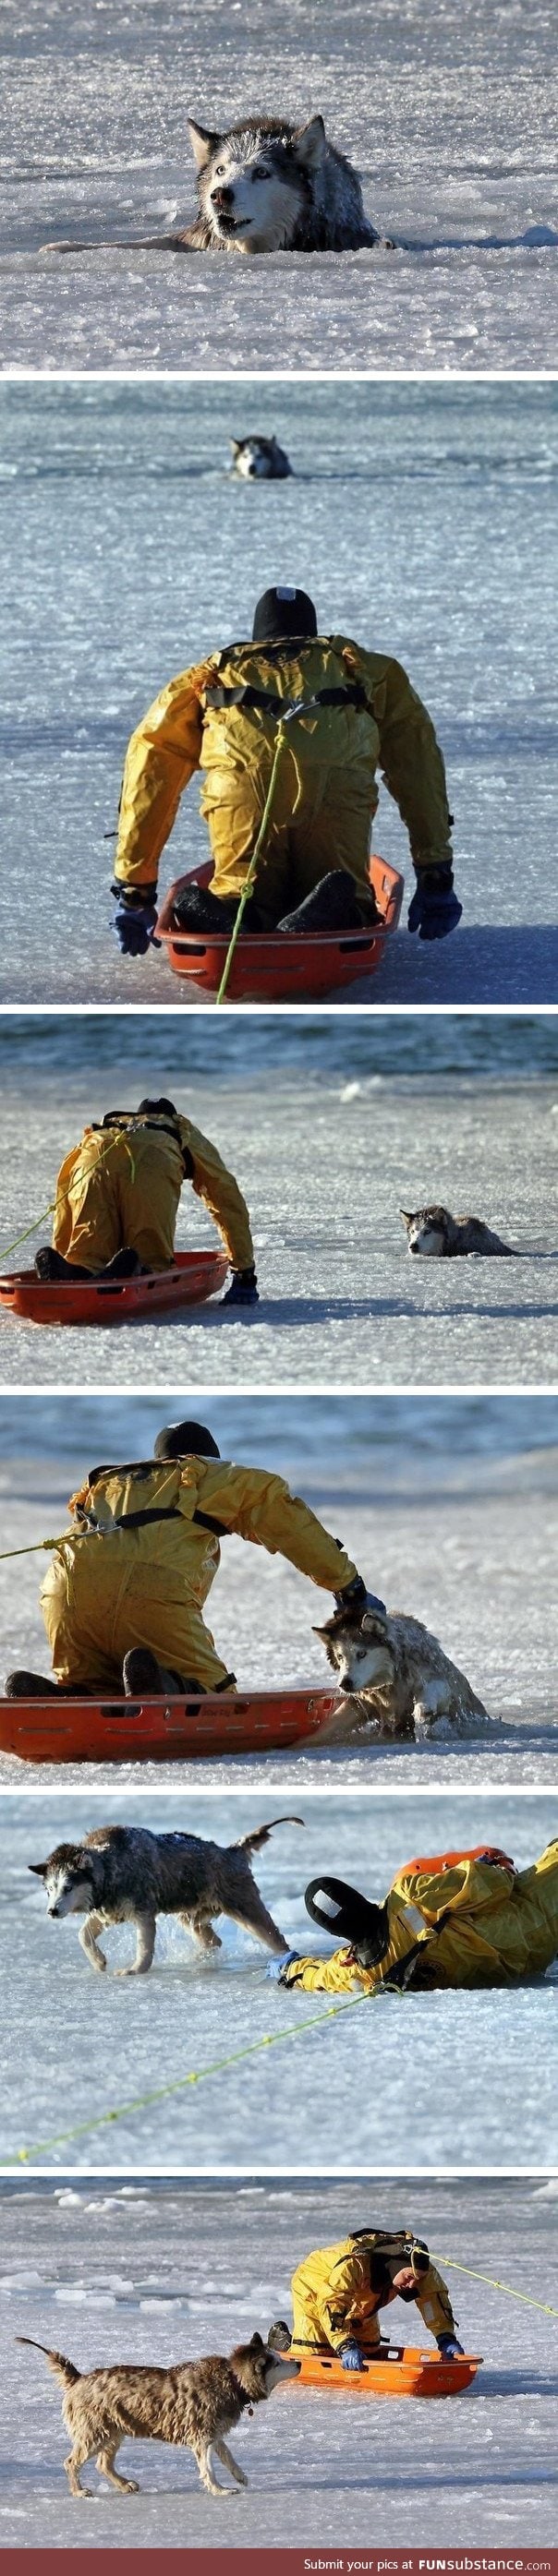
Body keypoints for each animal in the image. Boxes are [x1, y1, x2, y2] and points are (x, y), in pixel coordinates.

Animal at [16, 2339, 300, 2493]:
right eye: (277, 2362)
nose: (297, 2362)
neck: (233, 2380)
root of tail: (78, 2378)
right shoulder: (201, 2436)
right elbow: (208, 2469)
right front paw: (219, 2489)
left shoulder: (213, 2433)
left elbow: (228, 2456)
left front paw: (240, 2477)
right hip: (94, 2432)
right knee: (71, 2462)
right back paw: (78, 2491)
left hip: (114, 2431)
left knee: (103, 2464)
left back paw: (124, 2485)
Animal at [28, 1813, 303, 1968]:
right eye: (49, 1889)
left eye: (68, 1887)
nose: (52, 1911)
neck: (108, 1867)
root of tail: (232, 1850)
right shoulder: (107, 1909)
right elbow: (83, 1935)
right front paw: (98, 1962)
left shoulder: (142, 1910)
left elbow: (144, 1946)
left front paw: (135, 1969)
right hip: (191, 1912)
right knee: (213, 1940)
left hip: (243, 1903)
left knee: (275, 1938)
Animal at [313, 1596, 488, 1741]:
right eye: (340, 1656)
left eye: (361, 1653)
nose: (345, 1684)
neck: (391, 1682)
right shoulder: (363, 1703)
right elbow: (330, 1726)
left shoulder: (438, 1679)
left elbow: (434, 1689)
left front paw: (423, 1709)